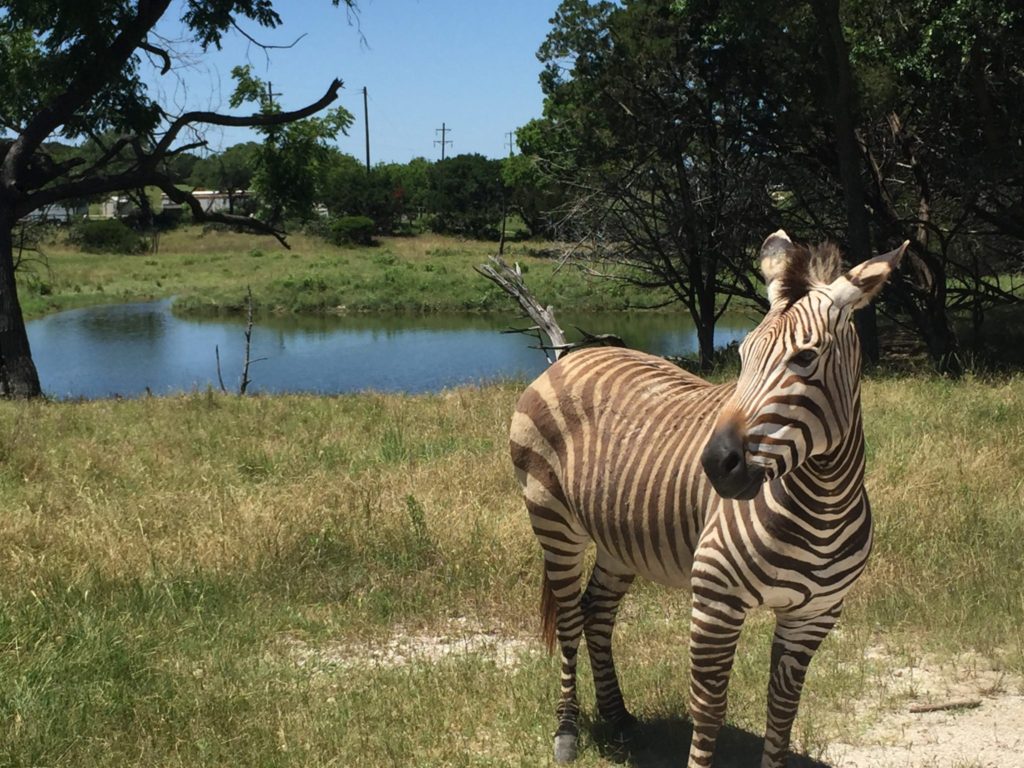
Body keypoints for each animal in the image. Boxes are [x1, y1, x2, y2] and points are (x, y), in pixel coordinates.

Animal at [509, 231, 905, 768]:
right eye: (743, 358)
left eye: (805, 357)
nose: (715, 465)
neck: (822, 505)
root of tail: (573, 356)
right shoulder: (717, 601)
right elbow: (710, 708)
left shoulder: (813, 616)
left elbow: (783, 711)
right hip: (552, 519)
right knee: (570, 618)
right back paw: (567, 733)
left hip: (617, 541)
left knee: (598, 612)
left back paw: (619, 718)